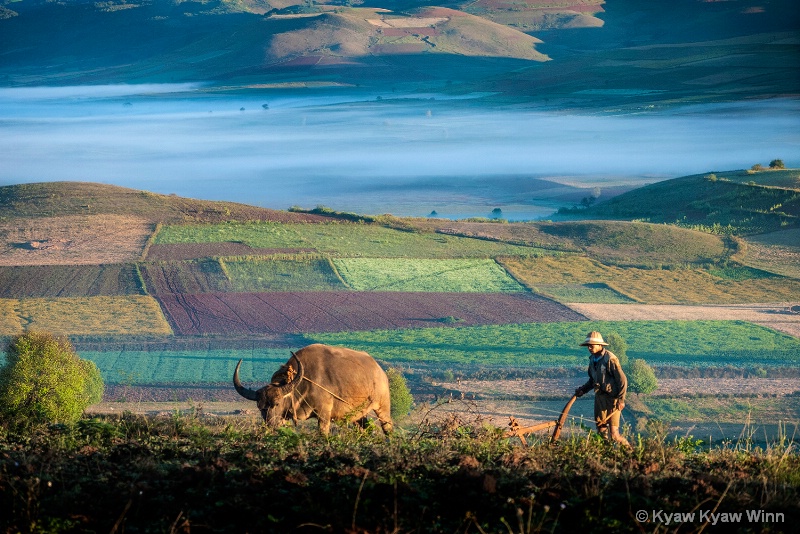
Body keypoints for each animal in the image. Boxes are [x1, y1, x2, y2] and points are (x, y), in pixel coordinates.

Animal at [231, 344, 394, 436]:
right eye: (260, 407)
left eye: (276, 403)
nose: (271, 424)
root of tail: (380, 371)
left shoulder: (324, 415)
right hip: (358, 414)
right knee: (364, 428)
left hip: (382, 407)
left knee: (388, 428)